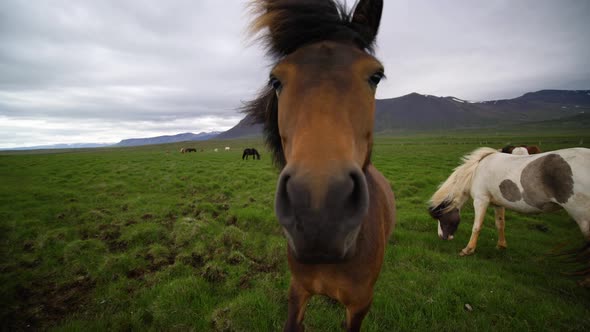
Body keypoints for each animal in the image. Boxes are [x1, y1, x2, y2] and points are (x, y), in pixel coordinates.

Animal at [430, 147, 590, 256]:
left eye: (440, 217)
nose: (441, 237)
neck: (476, 172)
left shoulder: (481, 200)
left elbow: (476, 226)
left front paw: (468, 249)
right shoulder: (498, 204)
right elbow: (500, 224)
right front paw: (501, 246)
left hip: (583, 217)